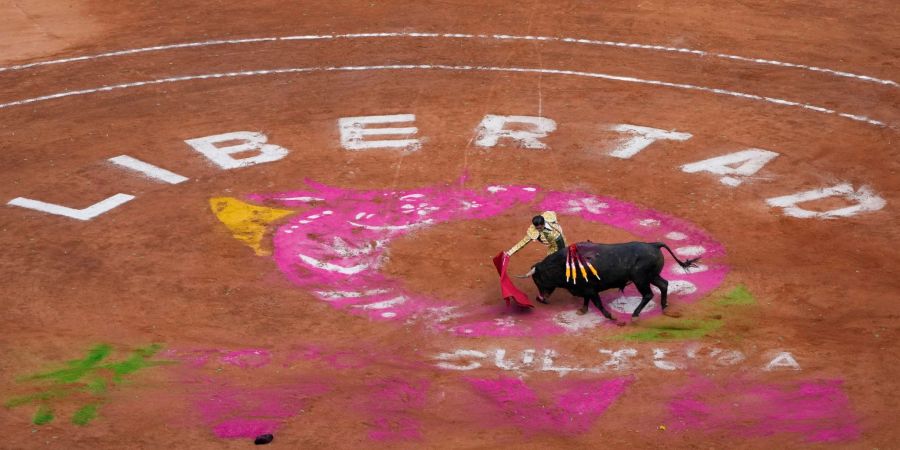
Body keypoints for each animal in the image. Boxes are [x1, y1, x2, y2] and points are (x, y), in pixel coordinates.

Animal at [516, 243, 700, 320]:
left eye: (537, 278)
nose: (540, 299)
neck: (564, 264)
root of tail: (654, 244)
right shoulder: (586, 289)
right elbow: (586, 301)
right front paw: (582, 310)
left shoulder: (590, 289)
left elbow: (597, 303)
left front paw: (611, 316)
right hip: (651, 276)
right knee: (664, 285)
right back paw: (664, 307)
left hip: (640, 279)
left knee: (648, 294)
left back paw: (635, 315)